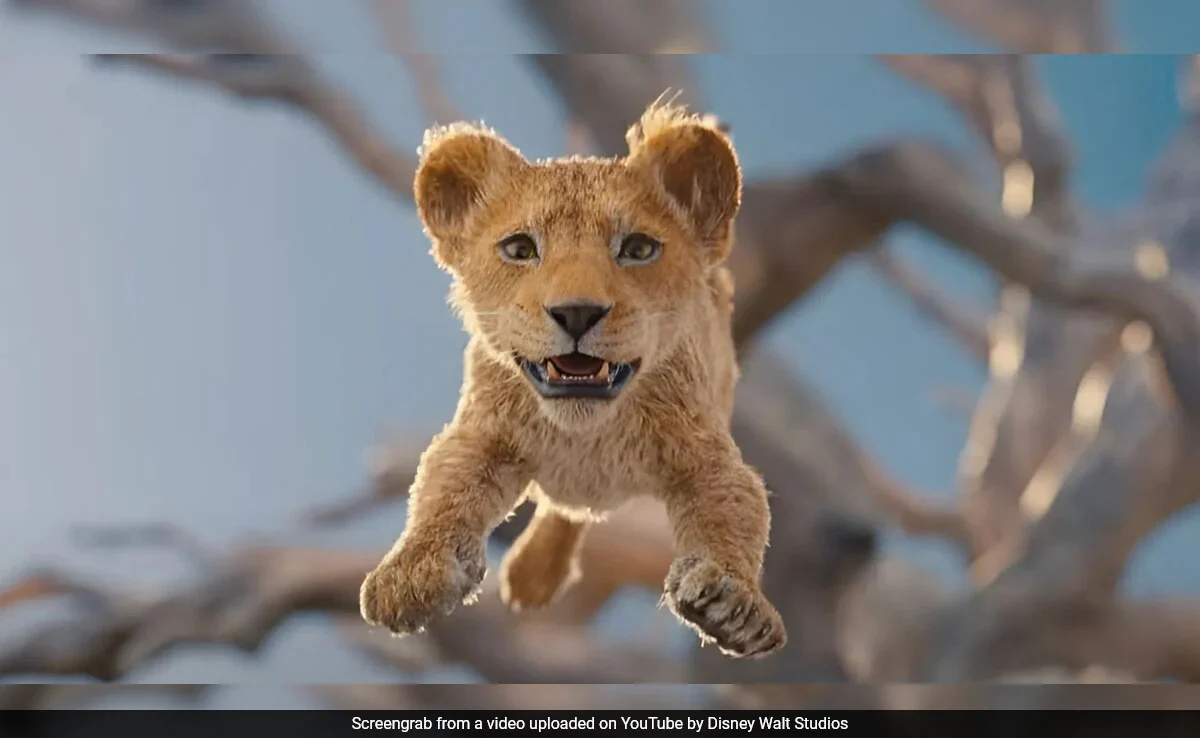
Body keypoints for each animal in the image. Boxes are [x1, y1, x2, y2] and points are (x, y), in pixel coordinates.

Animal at [359, 100, 786, 658]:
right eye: (520, 249)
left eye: (638, 249)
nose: (578, 313)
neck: (586, 434)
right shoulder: (481, 436)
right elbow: (442, 492)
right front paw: (411, 575)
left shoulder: (708, 456)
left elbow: (735, 510)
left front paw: (734, 602)